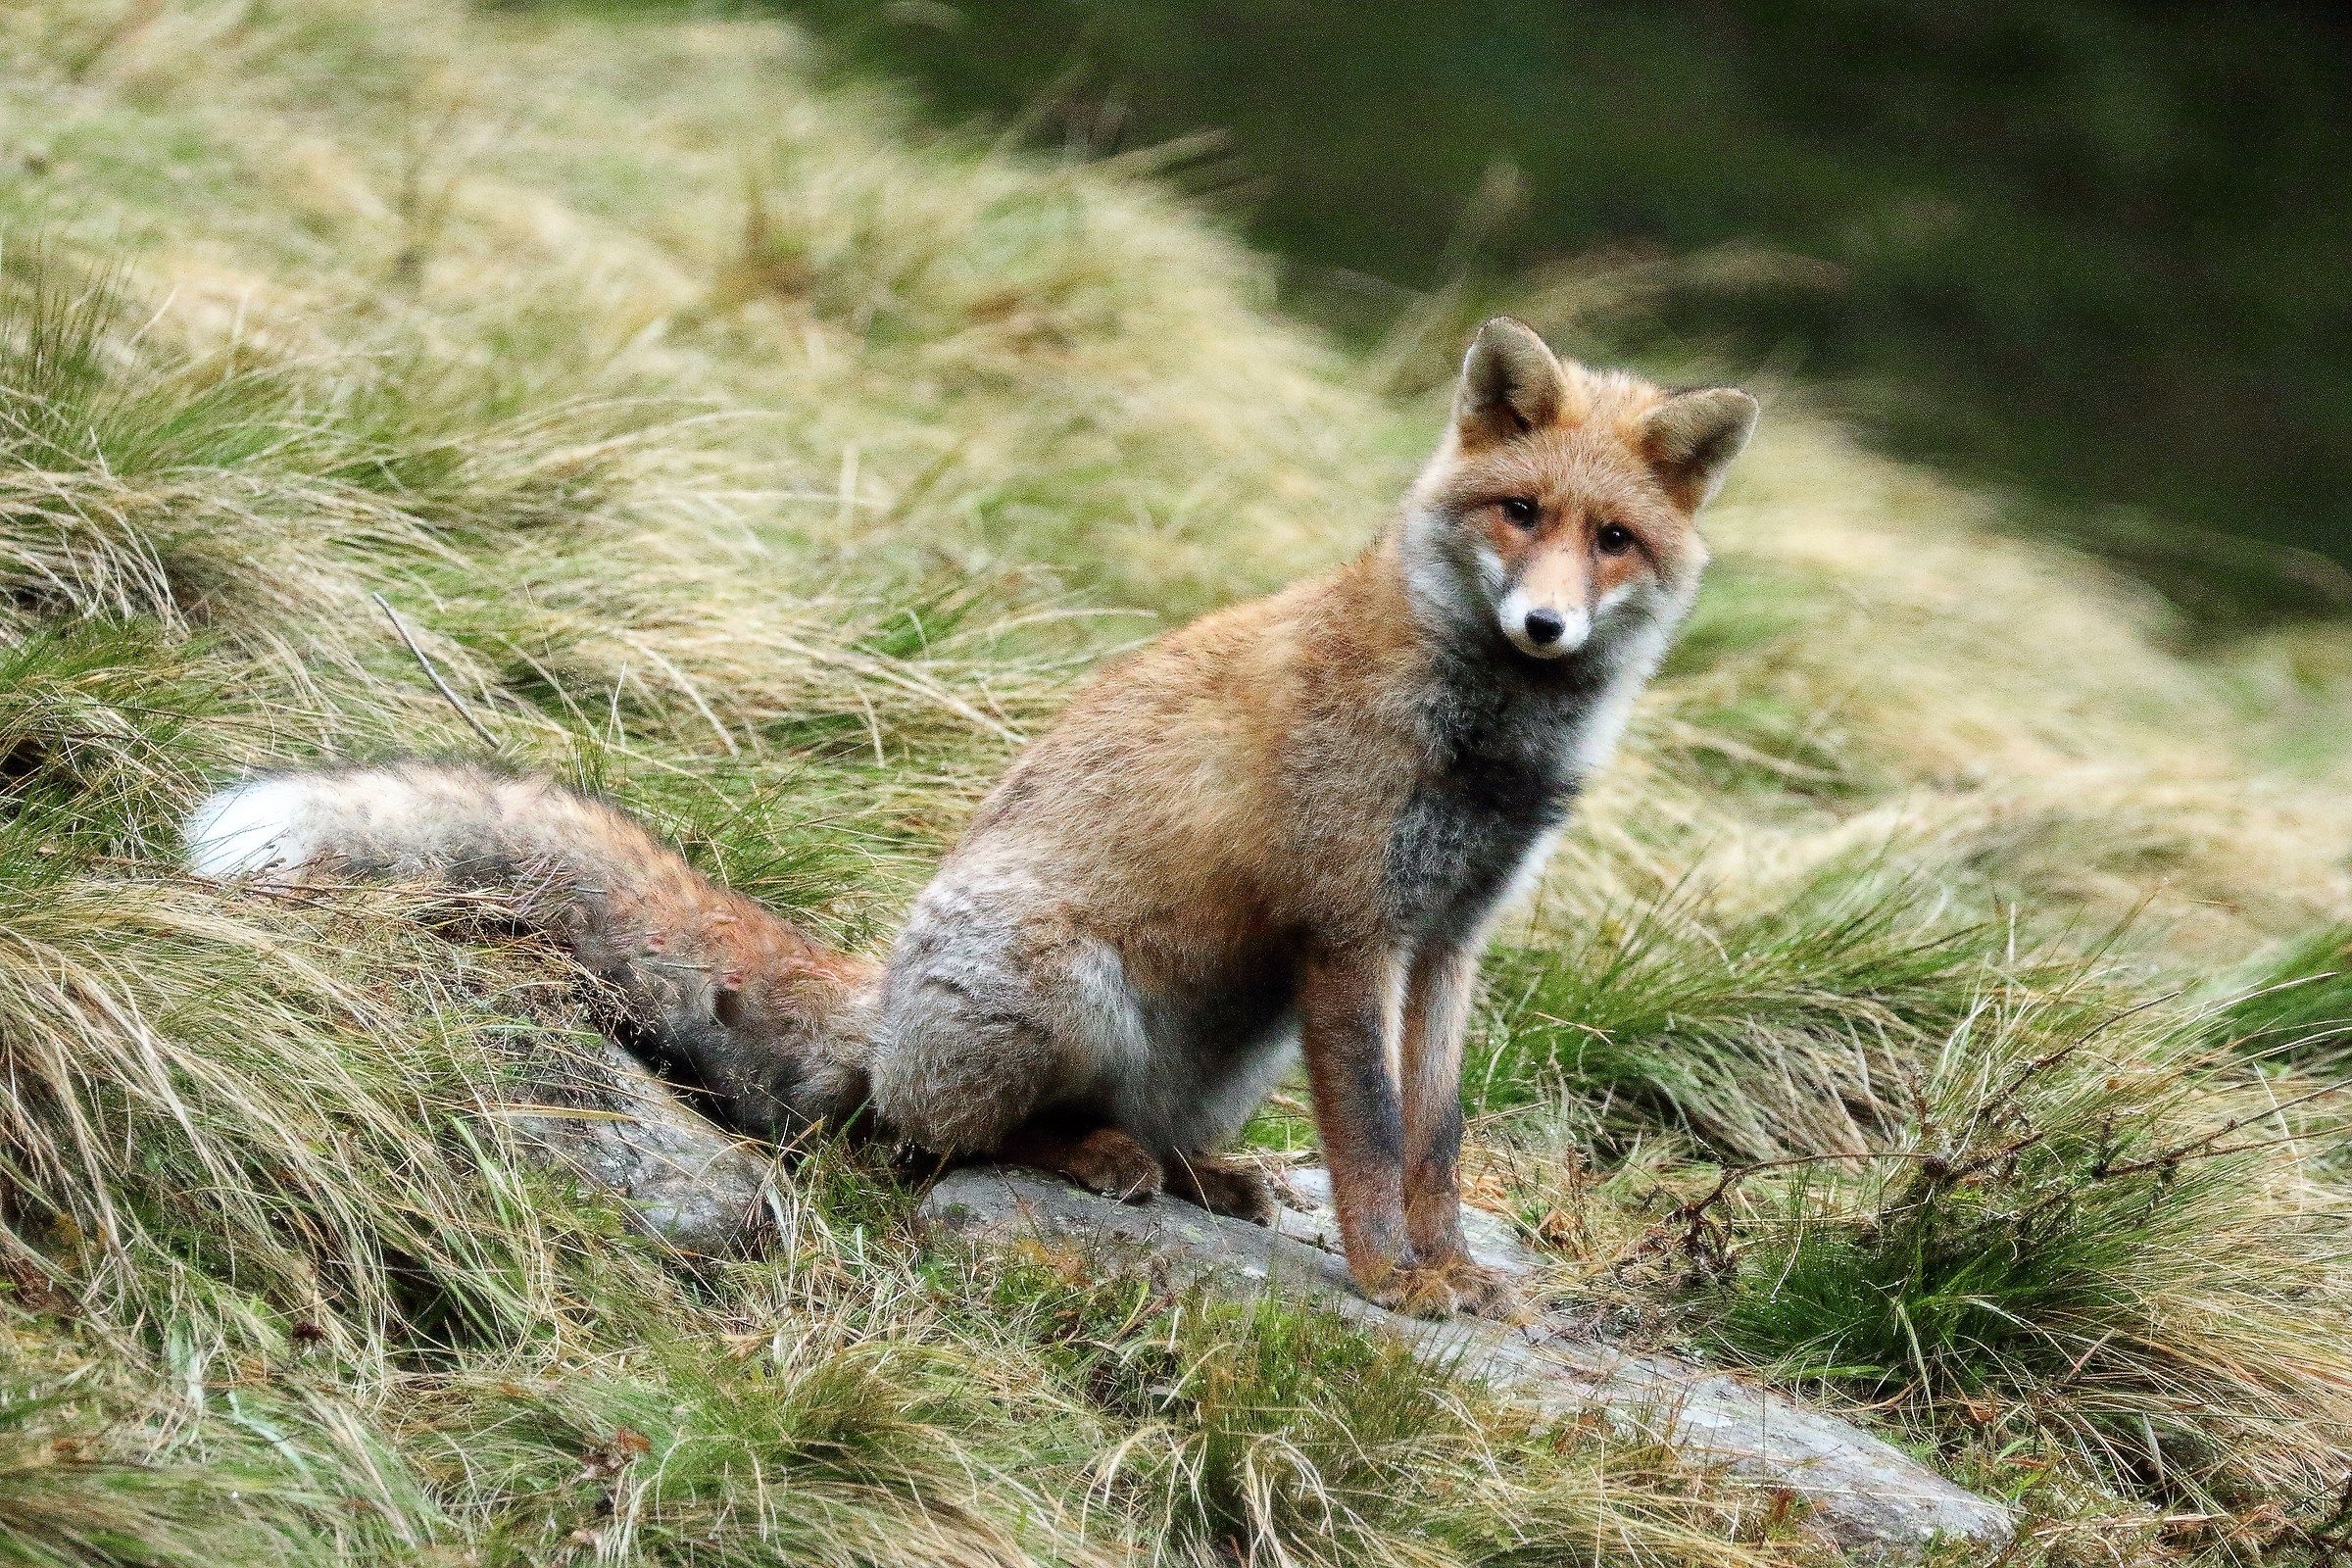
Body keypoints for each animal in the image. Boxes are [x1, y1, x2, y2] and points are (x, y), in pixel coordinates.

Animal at [184, 319, 1754, 1318]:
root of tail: (879, 1004)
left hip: (1230, 1050)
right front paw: (1388, 1282)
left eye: (1614, 539)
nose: (1548, 626)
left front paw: (1448, 1269)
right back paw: (1086, 1160)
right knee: (928, 1144)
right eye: (1519, 512)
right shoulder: (1348, 929)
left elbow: (1433, 1141)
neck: (1486, 747)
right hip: (1058, 985)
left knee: (1128, 1135)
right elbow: (1371, 1138)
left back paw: (1200, 1175)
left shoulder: (1447, 945)